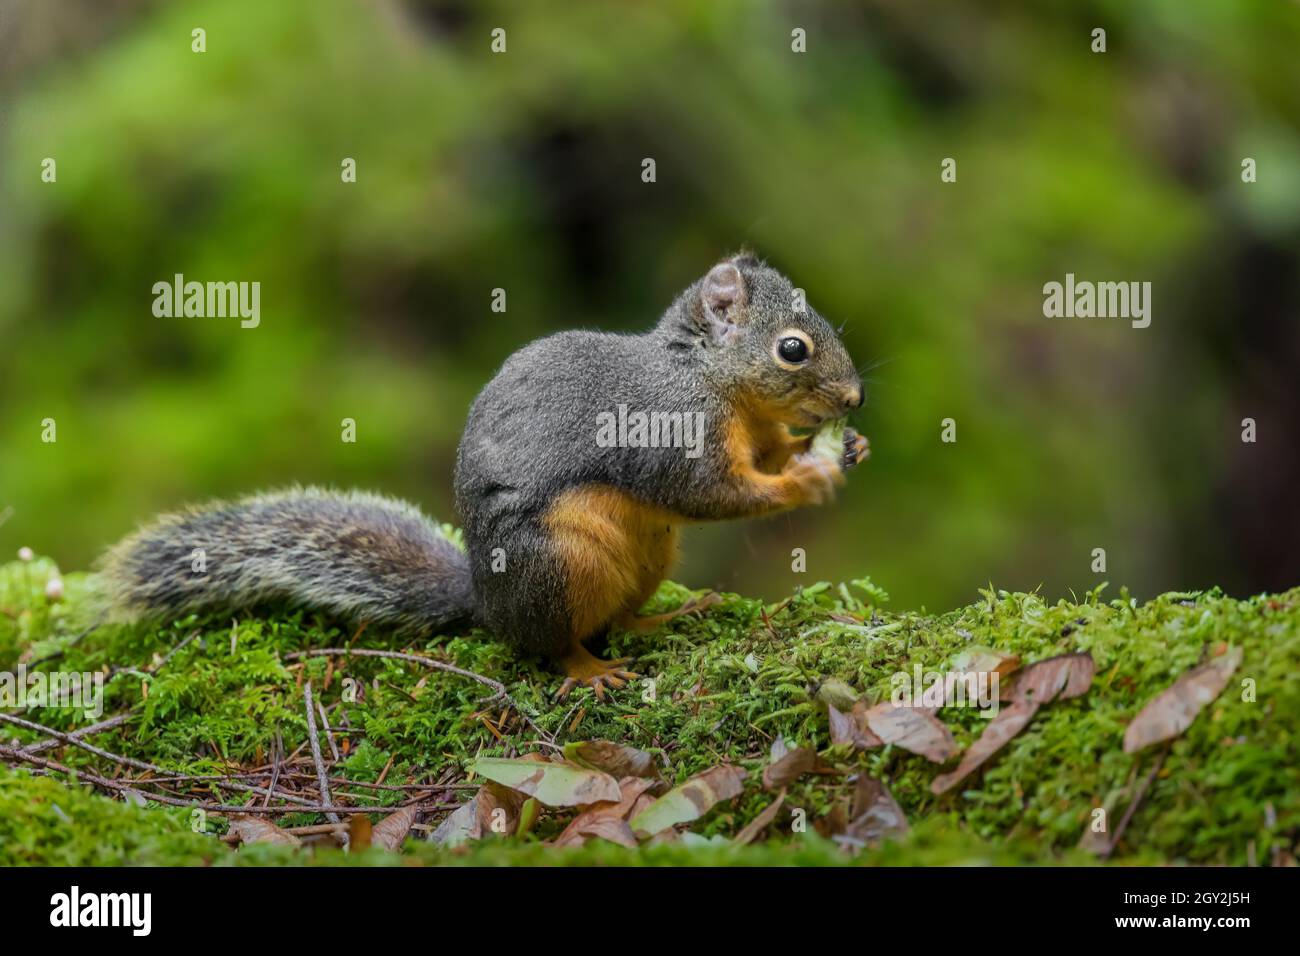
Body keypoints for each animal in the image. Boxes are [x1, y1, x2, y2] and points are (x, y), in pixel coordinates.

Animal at [101, 254, 868, 697]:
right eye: (793, 349)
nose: (855, 398)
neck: (707, 376)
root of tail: (487, 603)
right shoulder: (669, 430)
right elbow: (711, 493)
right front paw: (805, 481)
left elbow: (763, 458)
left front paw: (834, 449)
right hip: (559, 562)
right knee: (552, 643)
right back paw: (590, 670)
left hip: (650, 551)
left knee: (619, 614)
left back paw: (664, 616)